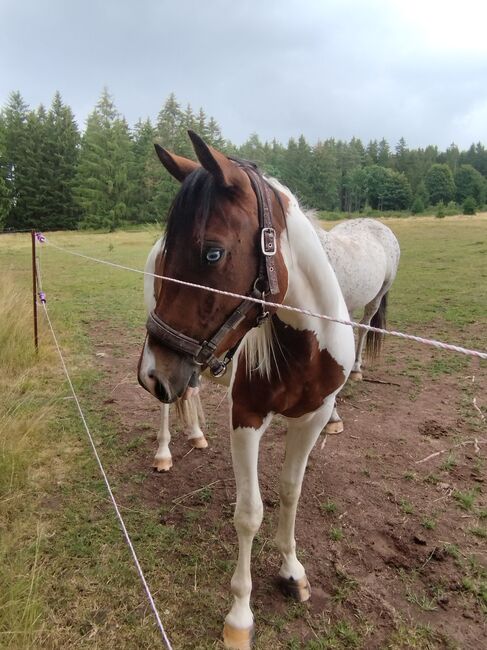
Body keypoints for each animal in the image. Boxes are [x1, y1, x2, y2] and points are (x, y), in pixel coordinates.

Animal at [137, 130, 354, 644]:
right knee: (167, 407)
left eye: (212, 252)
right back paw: (165, 452)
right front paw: (239, 617)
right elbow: (249, 512)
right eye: (173, 255)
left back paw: (196, 435)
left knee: (189, 392)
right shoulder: (246, 419)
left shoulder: (314, 417)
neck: (306, 346)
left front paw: (293, 572)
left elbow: (291, 490)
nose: (152, 373)